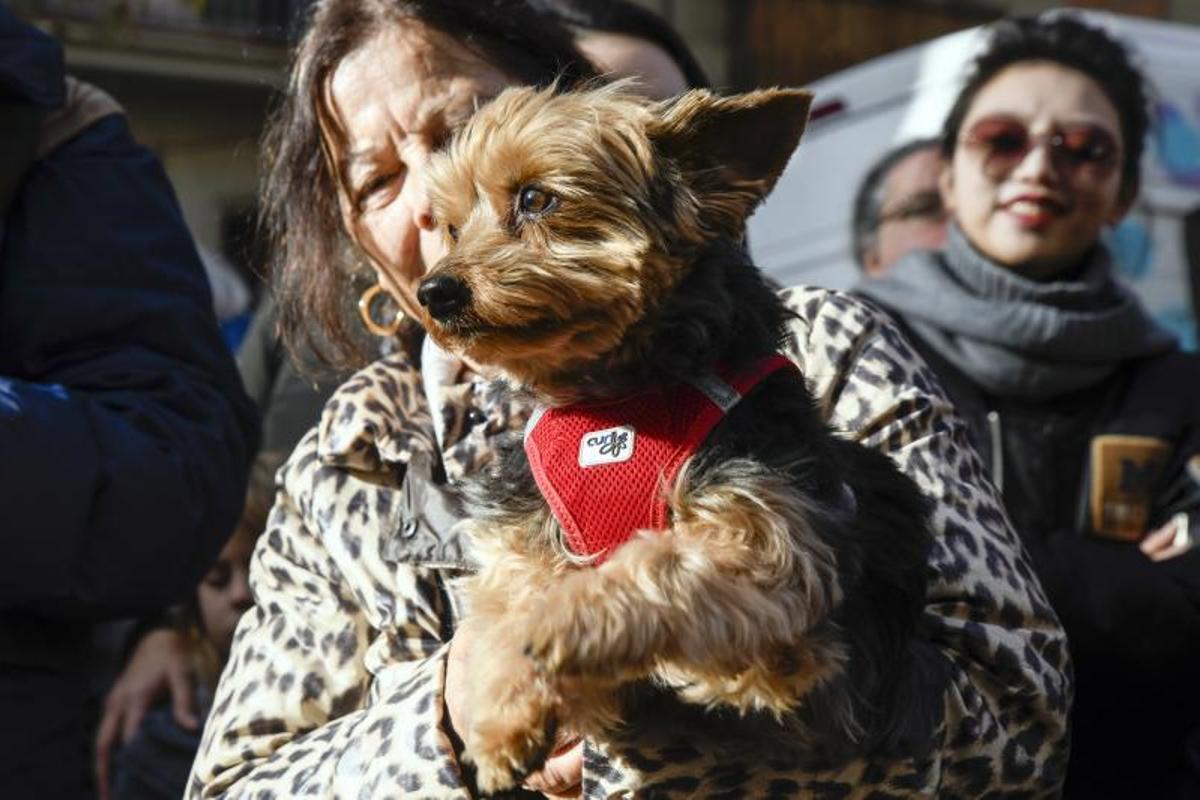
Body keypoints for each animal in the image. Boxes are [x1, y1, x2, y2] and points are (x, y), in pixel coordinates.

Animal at [420, 82, 936, 796]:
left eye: (535, 198)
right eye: (449, 225)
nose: (433, 291)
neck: (618, 399)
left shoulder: (772, 552)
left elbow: (656, 562)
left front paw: (560, 622)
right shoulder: (524, 531)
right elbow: (501, 605)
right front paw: (501, 715)